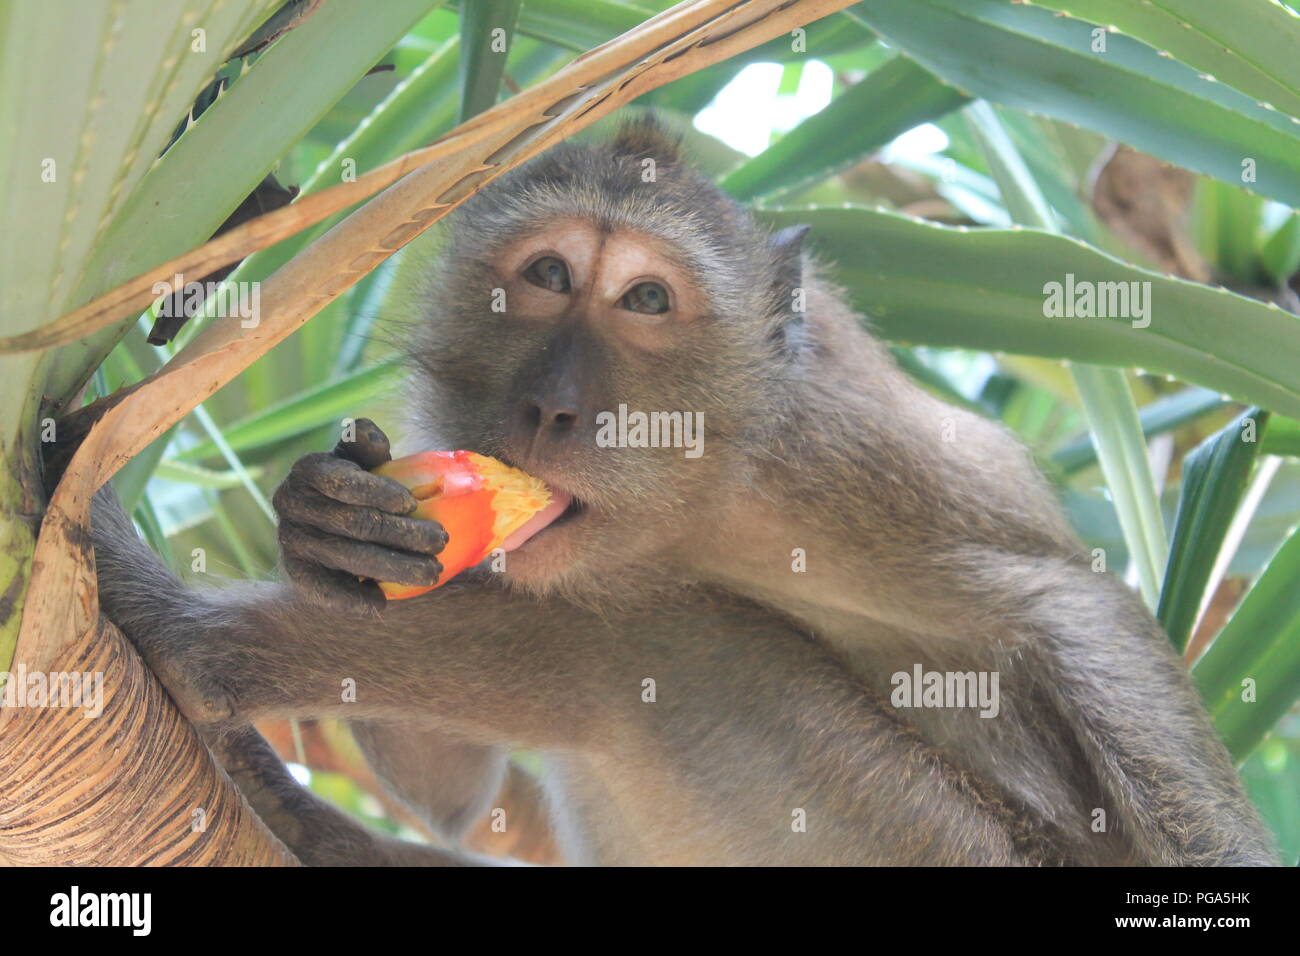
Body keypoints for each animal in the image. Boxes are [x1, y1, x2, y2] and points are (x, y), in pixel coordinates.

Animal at [89, 117, 1279, 868]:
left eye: (646, 299)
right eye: (548, 277)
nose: (551, 407)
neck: (685, 501)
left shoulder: (835, 457)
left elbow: (1065, 601)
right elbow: (452, 790)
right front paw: (322, 527)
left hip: (928, 839)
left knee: (658, 646)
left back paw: (187, 641)